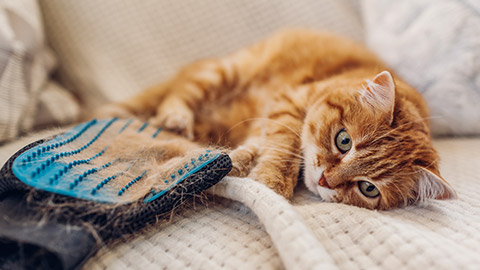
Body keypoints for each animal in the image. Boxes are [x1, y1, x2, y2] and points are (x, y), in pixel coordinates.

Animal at [94, 30, 458, 211]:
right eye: (343, 141)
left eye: (368, 189)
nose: (325, 181)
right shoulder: (288, 103)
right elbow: (284, 147)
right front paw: (271, 183)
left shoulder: (265, 120)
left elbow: (257, 145)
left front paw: (239, 161)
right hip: (223, 71)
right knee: (177, 93)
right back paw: (171, 117)